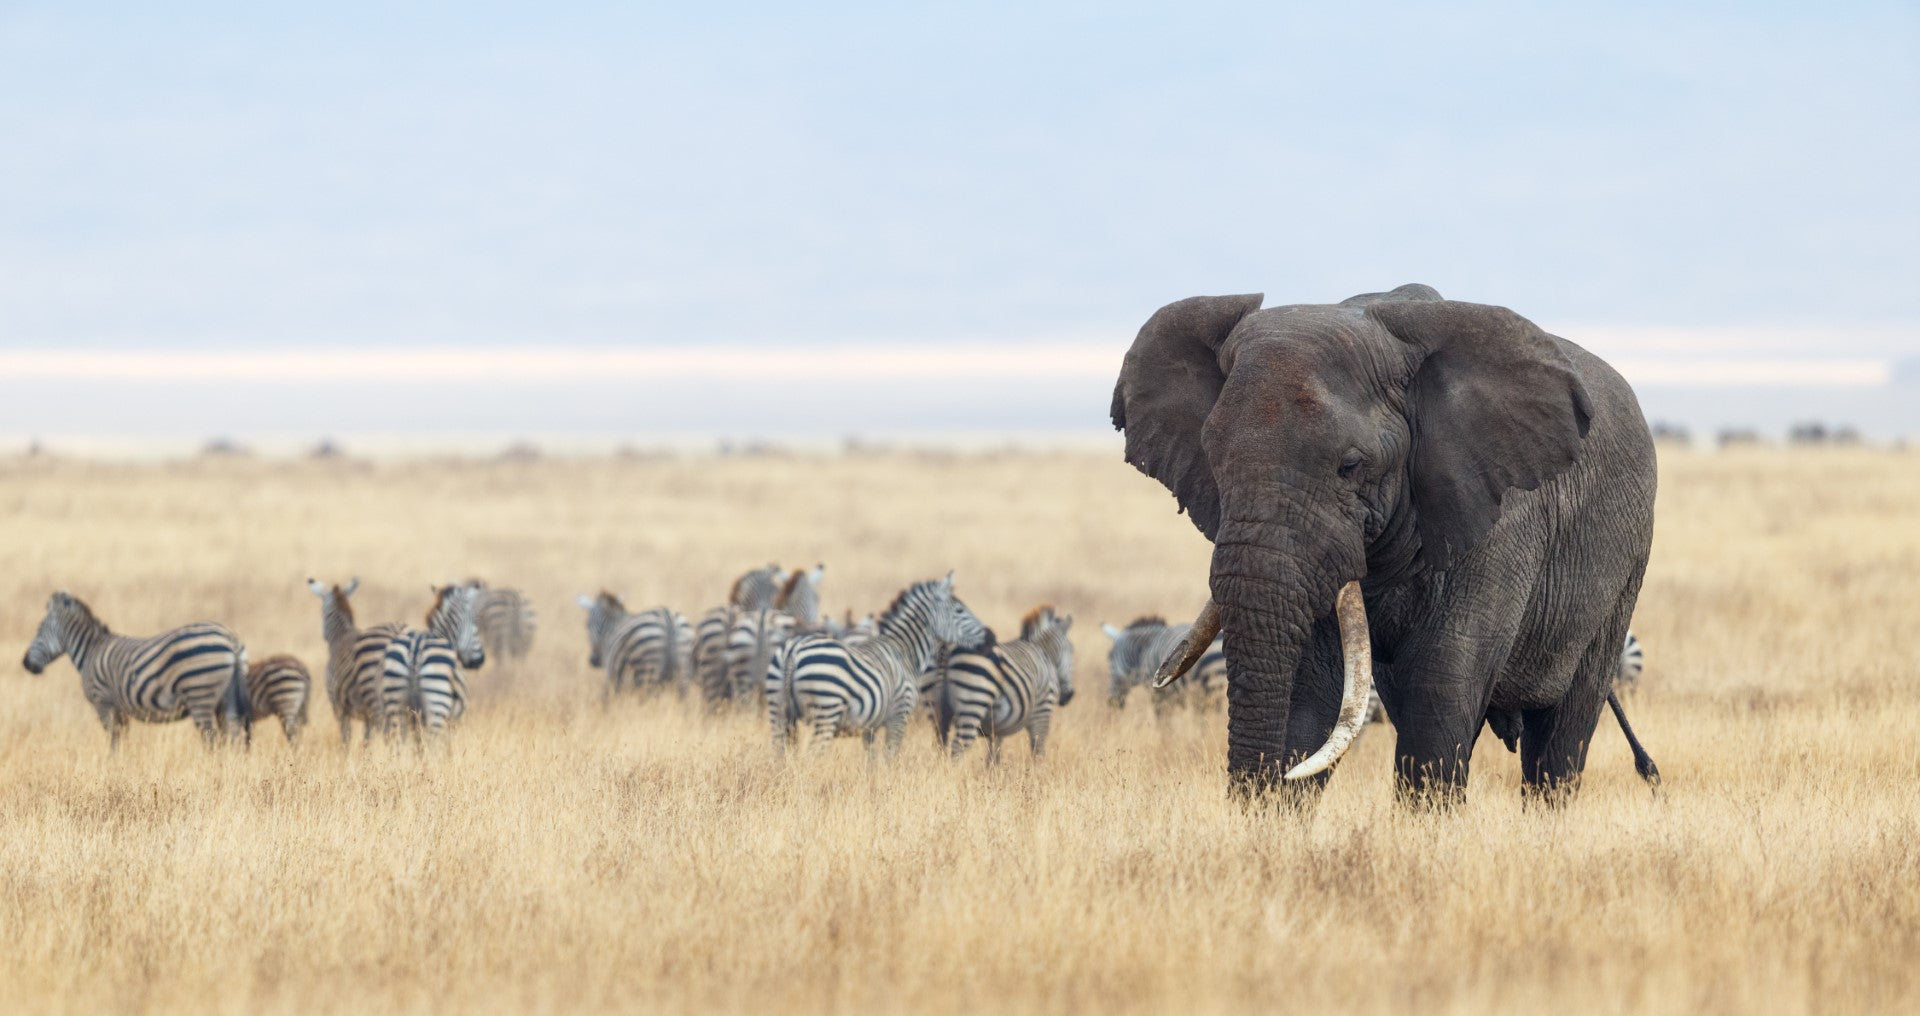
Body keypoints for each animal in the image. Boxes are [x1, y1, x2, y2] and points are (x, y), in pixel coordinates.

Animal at [1111, 283, 1660, 805]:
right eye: (1212, 458)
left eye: (1351, 466)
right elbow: (1309, 693)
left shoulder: (1498, 520)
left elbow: (1440, 692)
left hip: (1626, 566)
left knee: (1559, 743)